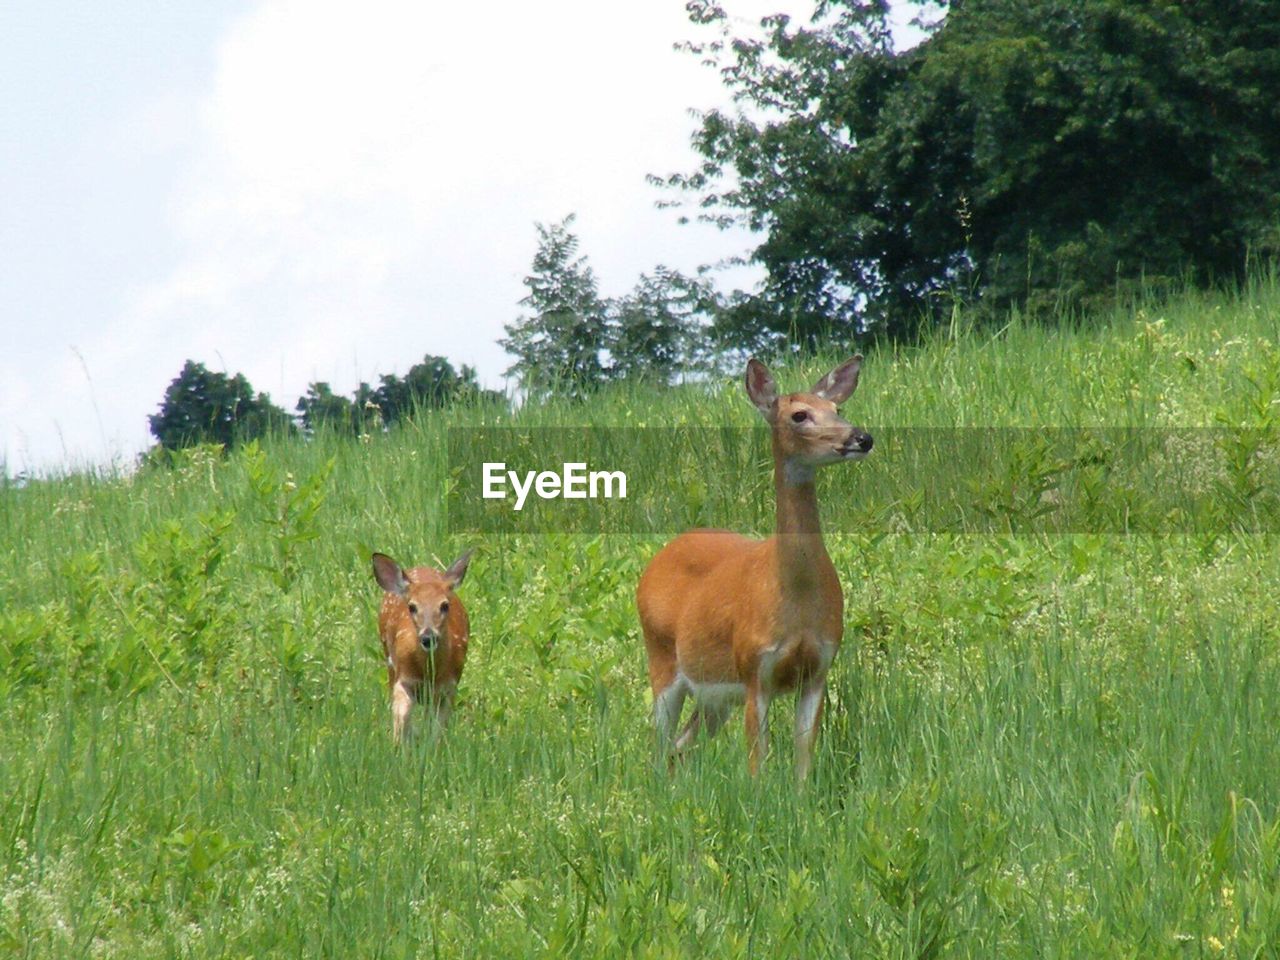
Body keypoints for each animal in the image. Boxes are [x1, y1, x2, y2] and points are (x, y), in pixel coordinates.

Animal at [373, 547, 473, 742]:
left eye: (444, 605)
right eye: (412, 606)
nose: (428, 637)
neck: (429, 673)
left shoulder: (448, 687)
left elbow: (437, 729)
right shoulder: (403, 678)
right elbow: (402, 716)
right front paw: (400, 743)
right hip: (389, 661)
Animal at [637, 358, 875, 783]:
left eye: (837, 409)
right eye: (799, 415)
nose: (862, 438)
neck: (794, 596)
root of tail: (659, 556)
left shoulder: (818, 668)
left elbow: (803, 755)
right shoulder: (754, 669)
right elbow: (756, 760)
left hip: (714, 694)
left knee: (681, 745)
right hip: (661, 657)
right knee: (660, 744)